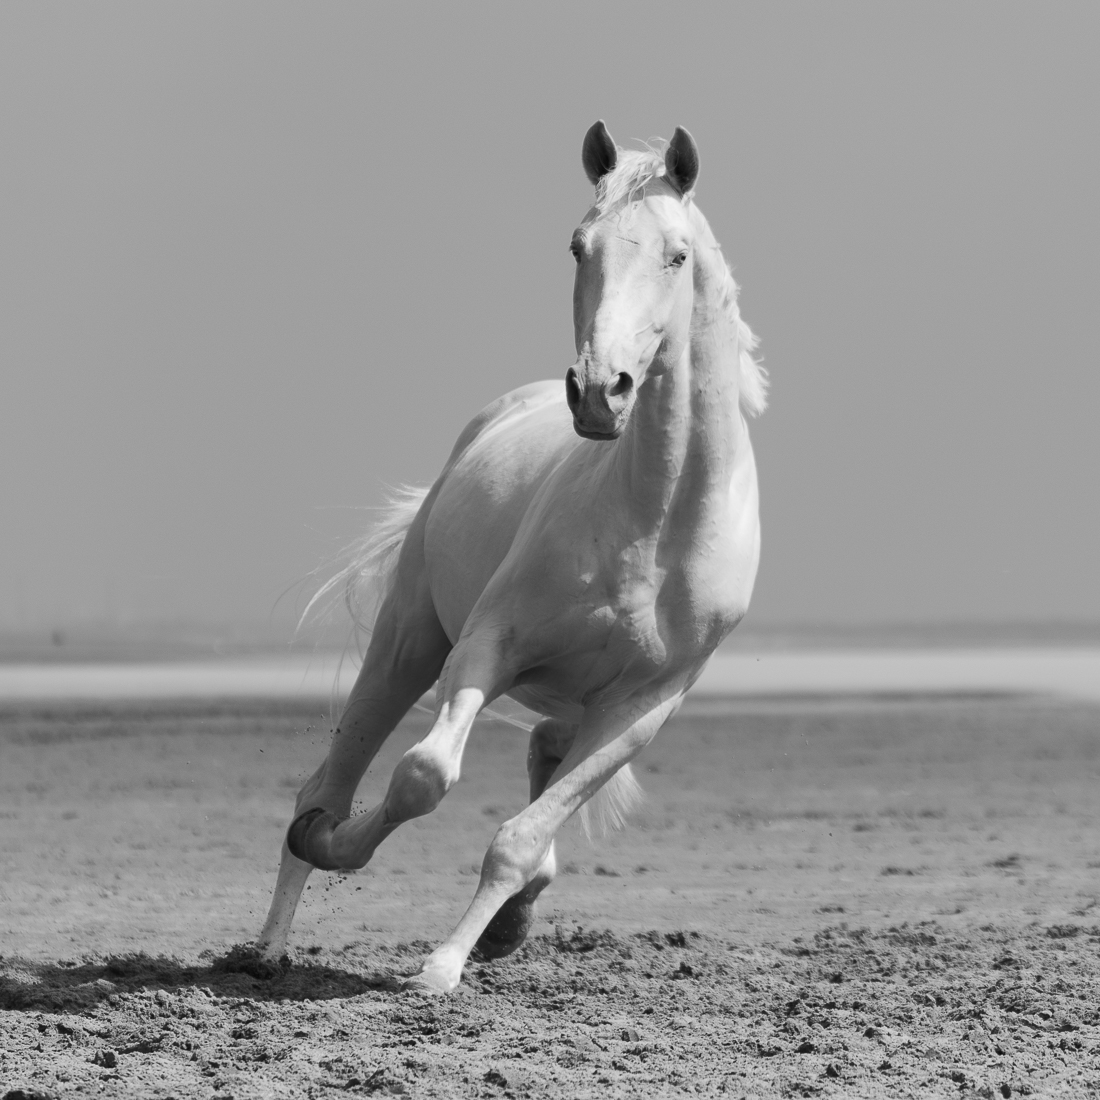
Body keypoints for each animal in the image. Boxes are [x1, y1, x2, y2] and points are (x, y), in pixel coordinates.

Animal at [256, 120, 767, 994]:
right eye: (577, 245)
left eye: (677, 255)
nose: (598, 391)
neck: (657, 524)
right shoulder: (487, 646)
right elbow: (423, 776)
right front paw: (347, 855)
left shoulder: (640, 709)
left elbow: (521, 839)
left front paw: (450, 960)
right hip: (408, 643)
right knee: (325, 783)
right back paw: (271, 937)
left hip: (568, 697)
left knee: (544, 756)